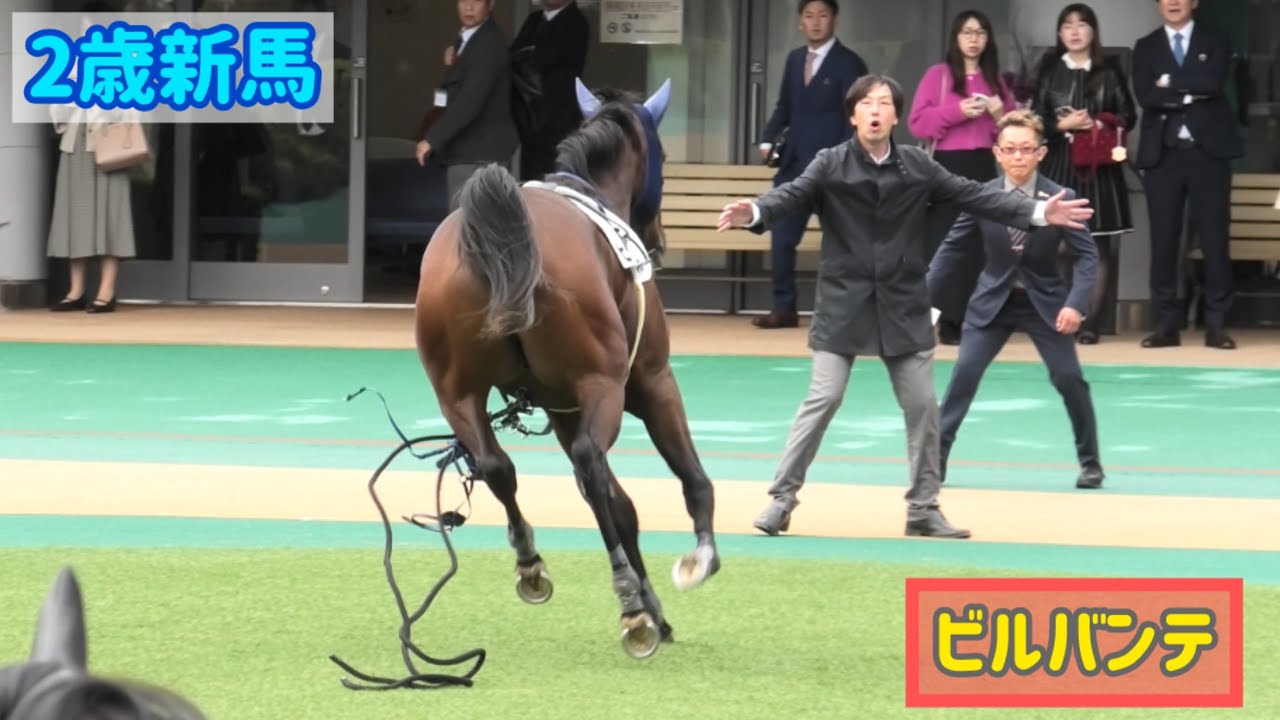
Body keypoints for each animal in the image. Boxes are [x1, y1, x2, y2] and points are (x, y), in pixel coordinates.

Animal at [412, 78, 720, 659]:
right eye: (664, 156)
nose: (659, 236)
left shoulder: (561, 406)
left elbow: (619, 507)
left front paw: (655, 608)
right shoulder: (650, 381)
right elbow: (688, 477)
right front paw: (697, 560)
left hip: (456, 389)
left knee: (497, 466)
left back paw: (532, 562)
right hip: (603, 382)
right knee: (591, 466)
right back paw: (629, 603)